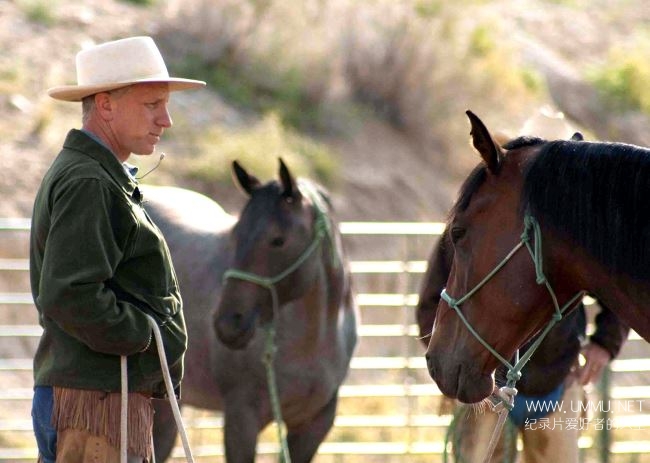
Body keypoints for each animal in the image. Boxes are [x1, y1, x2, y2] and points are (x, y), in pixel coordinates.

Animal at [143, 158, 358, 462]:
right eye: (235, 234)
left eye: (278, 240)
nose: (228, 324)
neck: (309, 344)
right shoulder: (241, 418)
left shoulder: (314, 424)